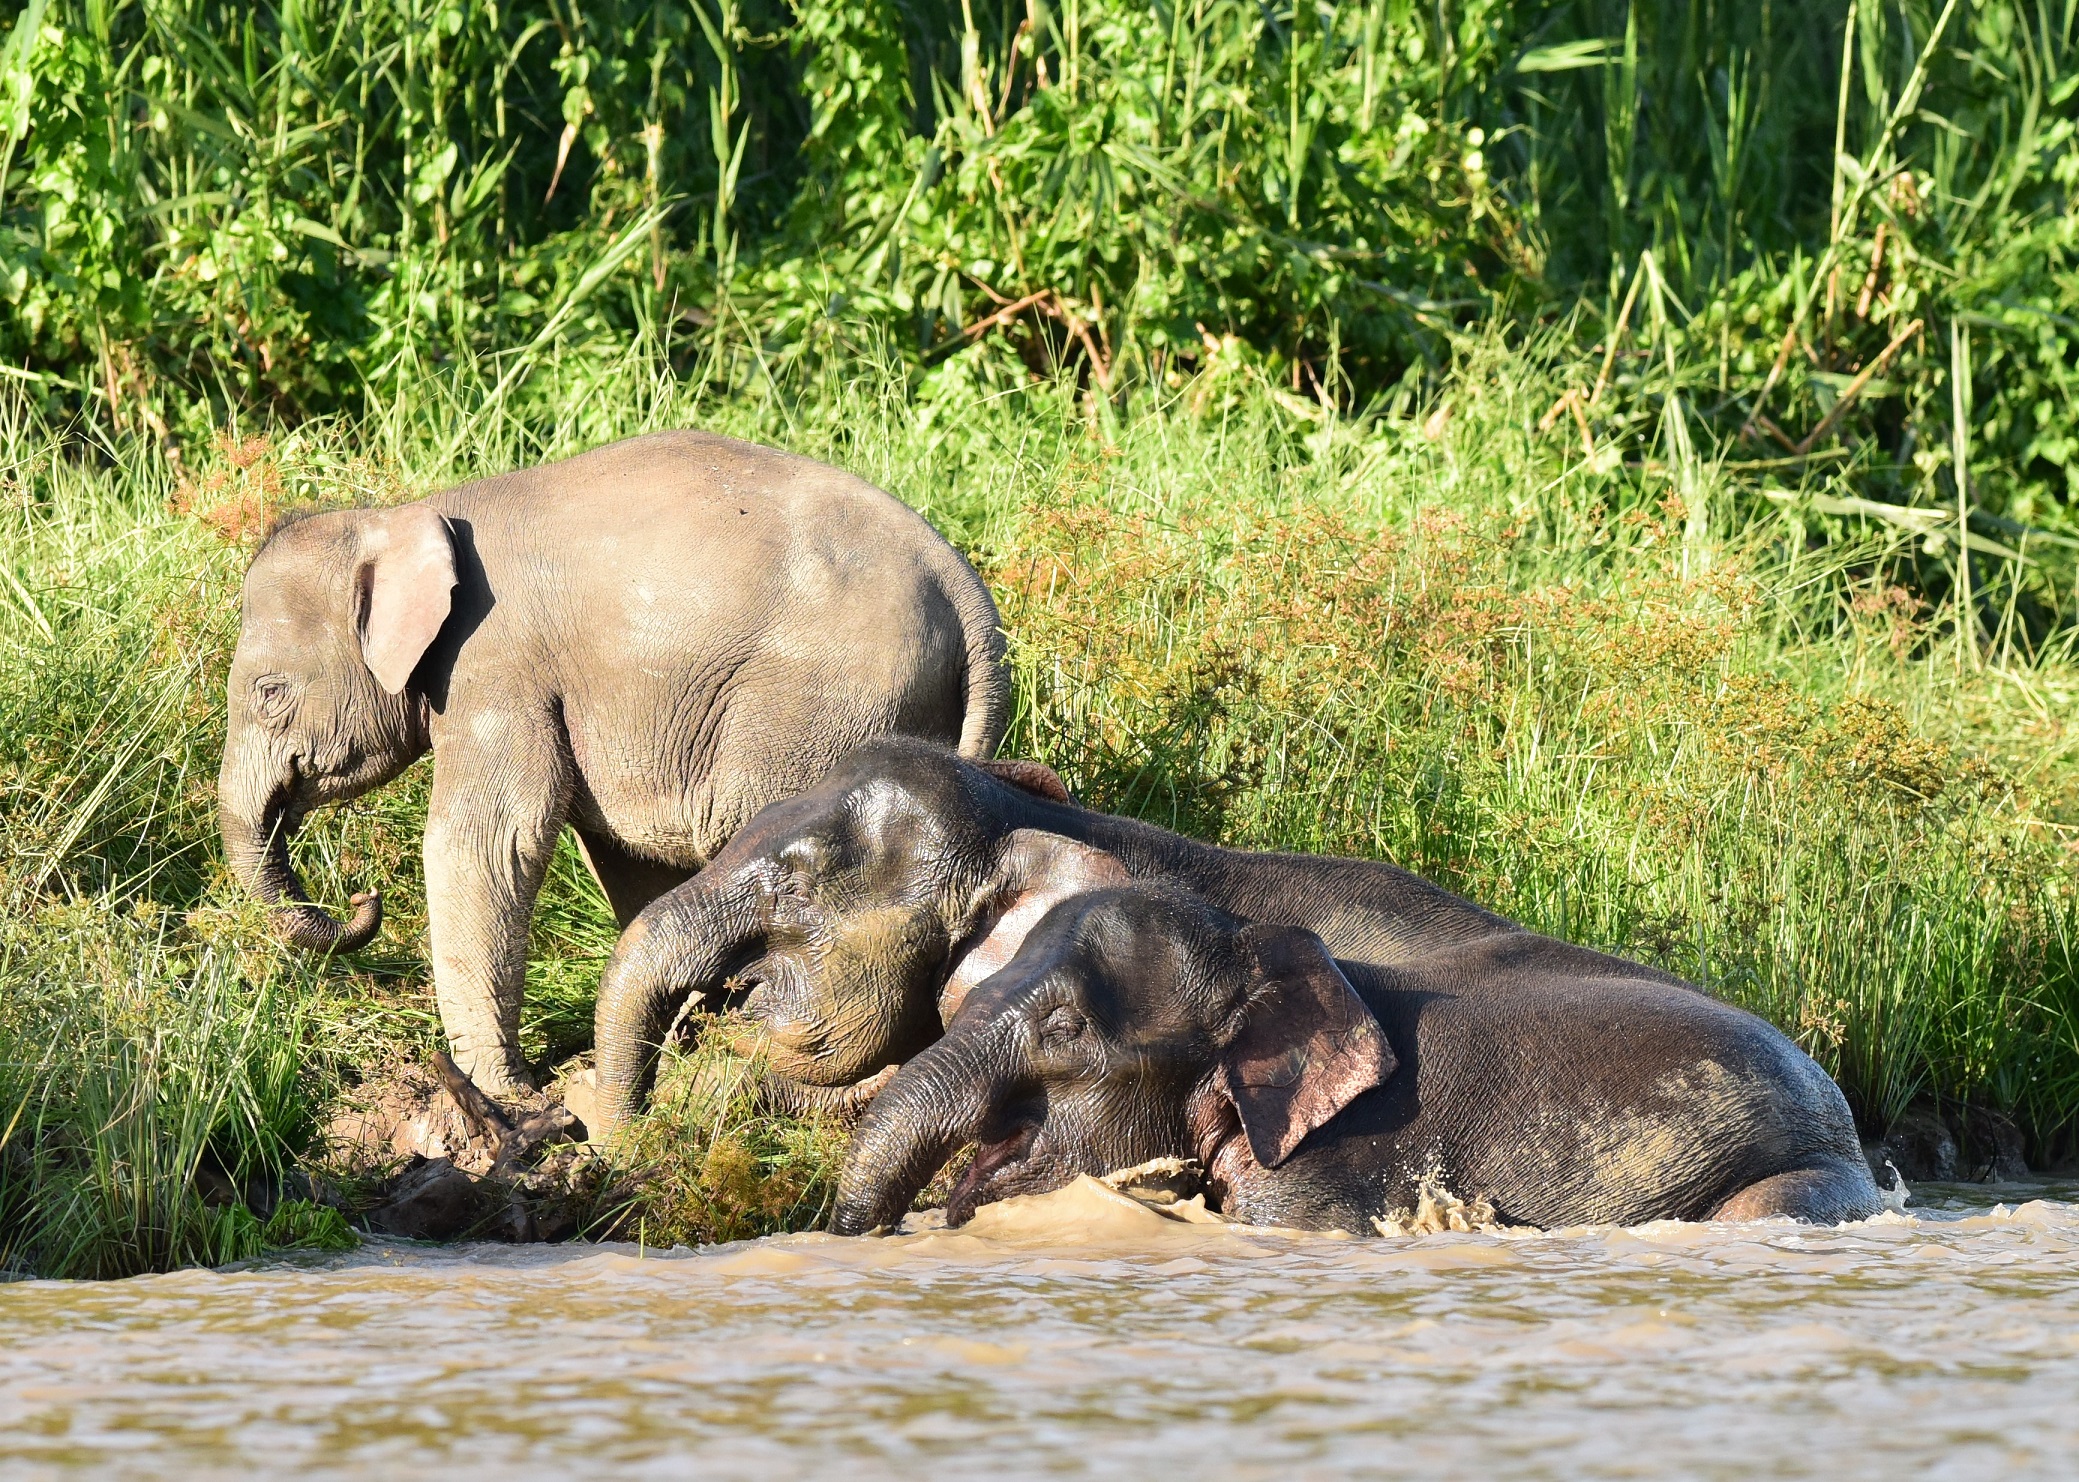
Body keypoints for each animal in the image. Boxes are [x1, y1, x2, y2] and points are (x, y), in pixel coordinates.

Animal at [219, 421, 1006, 1089]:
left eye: (269, 692)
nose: (363, 901)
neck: (407, 514)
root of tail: (963, 588)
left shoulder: (495, 665)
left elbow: (489, 841)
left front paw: (502, 1092)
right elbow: (625, 857)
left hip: (813, 708)